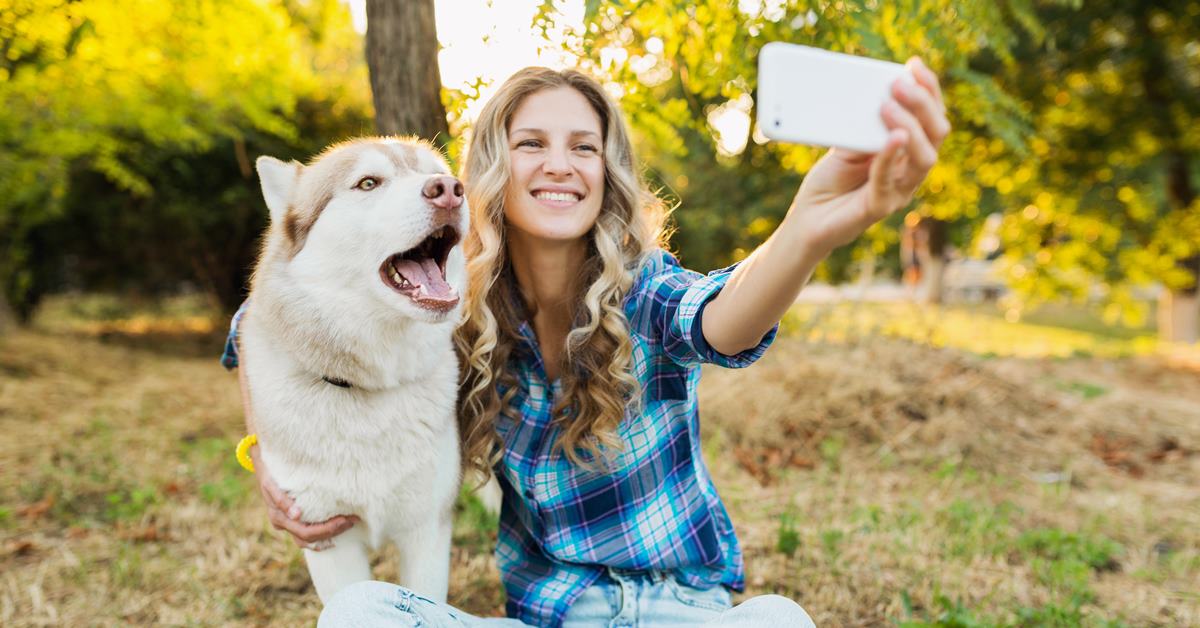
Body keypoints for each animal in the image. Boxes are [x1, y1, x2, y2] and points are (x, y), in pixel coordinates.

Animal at [241, 136, 465, 605]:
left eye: (434, 172)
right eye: (368, 183)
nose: (450, 191)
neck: (370, 388)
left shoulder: (427, 531)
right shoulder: (327, 539)